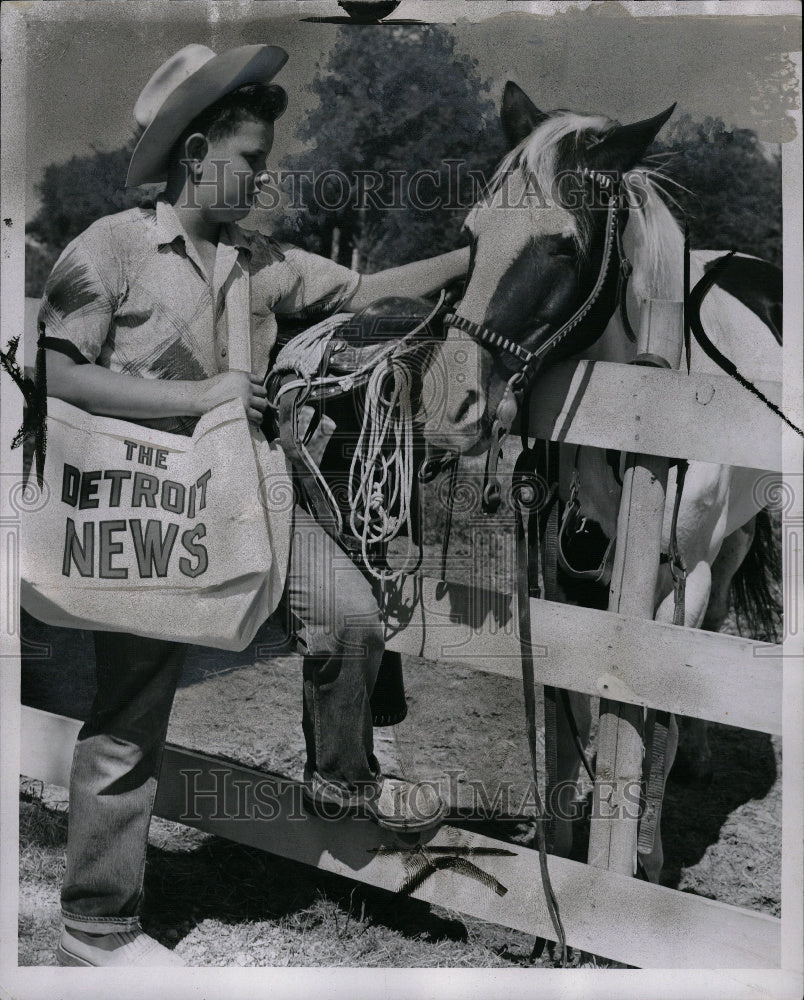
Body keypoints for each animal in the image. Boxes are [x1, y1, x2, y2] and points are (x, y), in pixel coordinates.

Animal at [418, 84, 784, 884]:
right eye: (470, 234)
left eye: (563, 245)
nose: (447, 408)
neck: (641, 421)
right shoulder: (564, 571)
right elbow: (575, 704)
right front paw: (567, 840)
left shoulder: (683, 579)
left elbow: (660, 711)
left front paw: (643, 857)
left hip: (734, 544)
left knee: (711, 634)